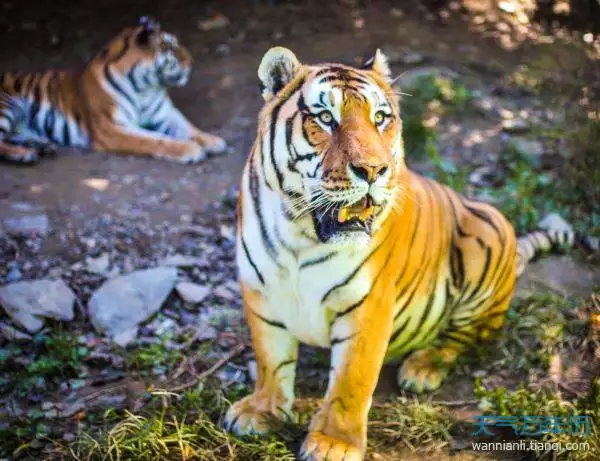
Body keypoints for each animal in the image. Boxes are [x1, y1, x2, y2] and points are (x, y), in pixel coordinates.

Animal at [0, 17, 225, 164]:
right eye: (171, 48)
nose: (192, 62)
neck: (145, 87)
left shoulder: (165, 114)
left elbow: (190, 128)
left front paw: (213, 141)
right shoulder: (112, 128)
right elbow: (153, 139)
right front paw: (190, 149)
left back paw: (41, 146)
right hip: (7, 105)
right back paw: (23, 154)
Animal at [225, 47, 600, 460]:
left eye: (379, 118)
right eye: (325, 118)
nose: (373, 170)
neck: (300, 235)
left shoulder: (368, 306)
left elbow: (351, 381)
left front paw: (334, 443)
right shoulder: (261, 293)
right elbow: (270, 361)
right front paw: (261, 411)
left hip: (488, 234)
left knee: (468, 334)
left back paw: (421, 369)